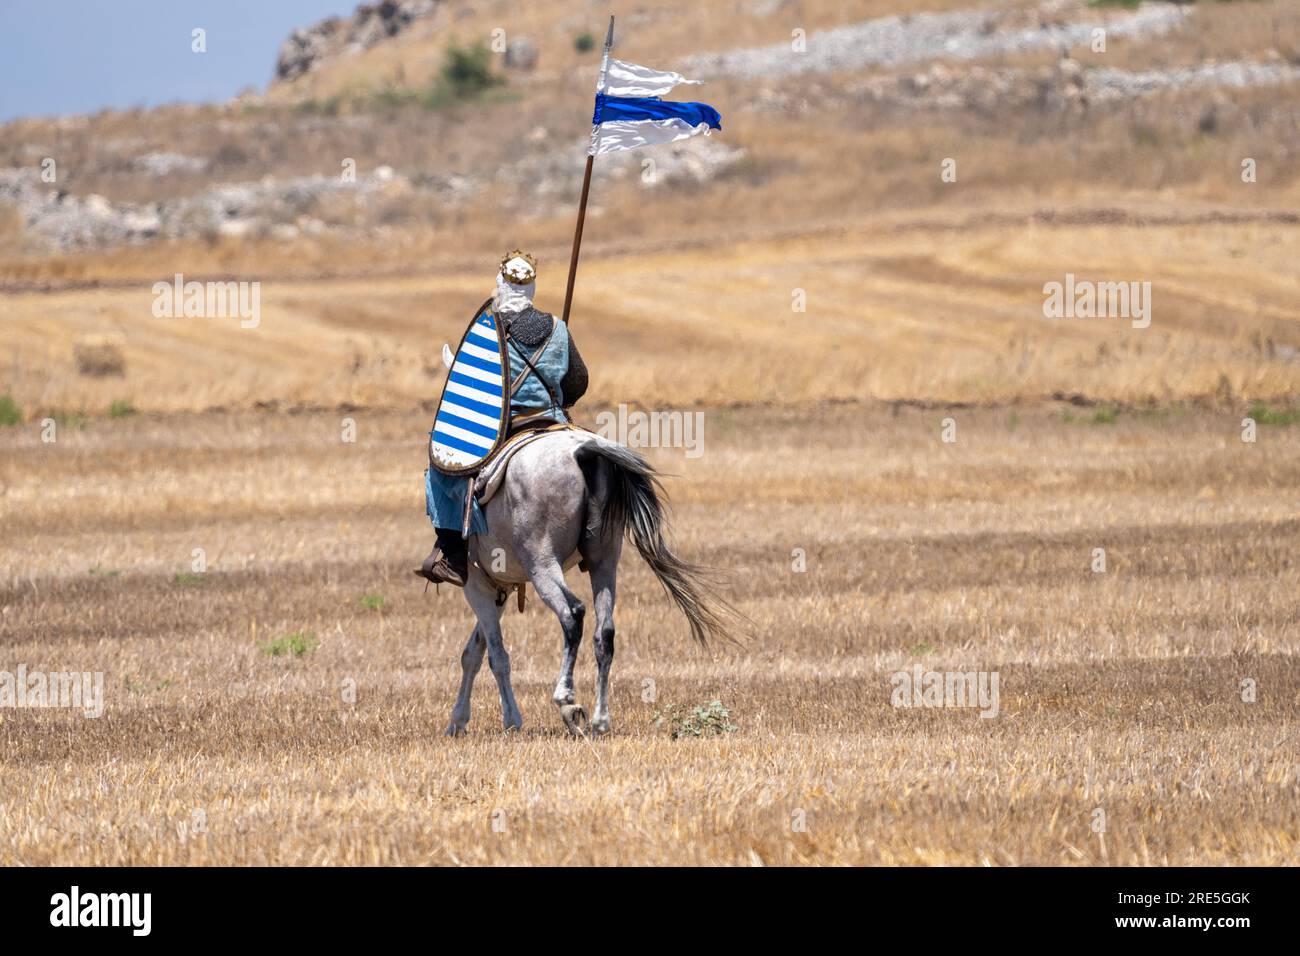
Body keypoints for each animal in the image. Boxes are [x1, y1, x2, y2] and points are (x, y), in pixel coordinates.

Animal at [444, 429, 733, 738]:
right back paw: (599, 720)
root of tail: (583, 451)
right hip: (603, 562)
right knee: (604, 632)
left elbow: (496, 655)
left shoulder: (476, 584)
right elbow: (473, 652)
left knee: (572, 614)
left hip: (542, 565)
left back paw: (566, 701)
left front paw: (510, 719)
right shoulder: (500, 587)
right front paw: (458, 720)